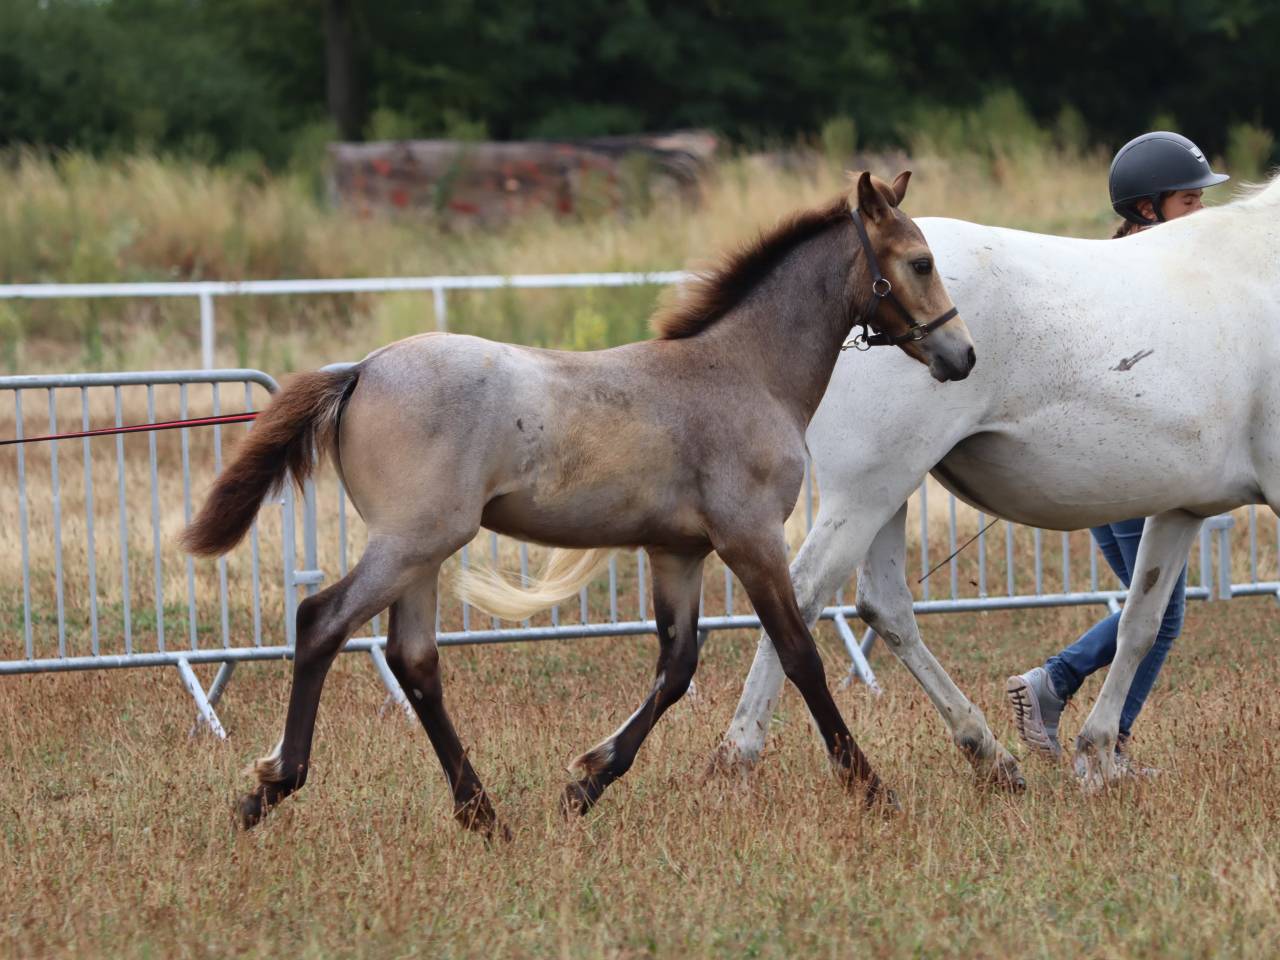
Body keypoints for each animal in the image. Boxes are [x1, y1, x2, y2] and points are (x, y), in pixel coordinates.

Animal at [183, 172, 976, 834]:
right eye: (920, 262)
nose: (962, 357)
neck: (744, 372)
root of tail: (362, 371)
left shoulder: (678, 552)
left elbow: (678, 666)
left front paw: (586, 783)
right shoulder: (749, 538)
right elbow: (798, 653)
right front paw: (873, 789)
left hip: (422, 553)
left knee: (415, 662)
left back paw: (484, 816)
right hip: (412, 541)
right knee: (322, 621)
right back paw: (272, 787)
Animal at [711, 174, 1280, 791]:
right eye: (919, 266)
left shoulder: (1180, 510)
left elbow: (1141, 624)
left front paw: (1099, 754)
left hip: (887, 492)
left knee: (884, 607)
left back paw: (987, 750)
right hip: (865, 490)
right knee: (804, 595)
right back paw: (742, 752)